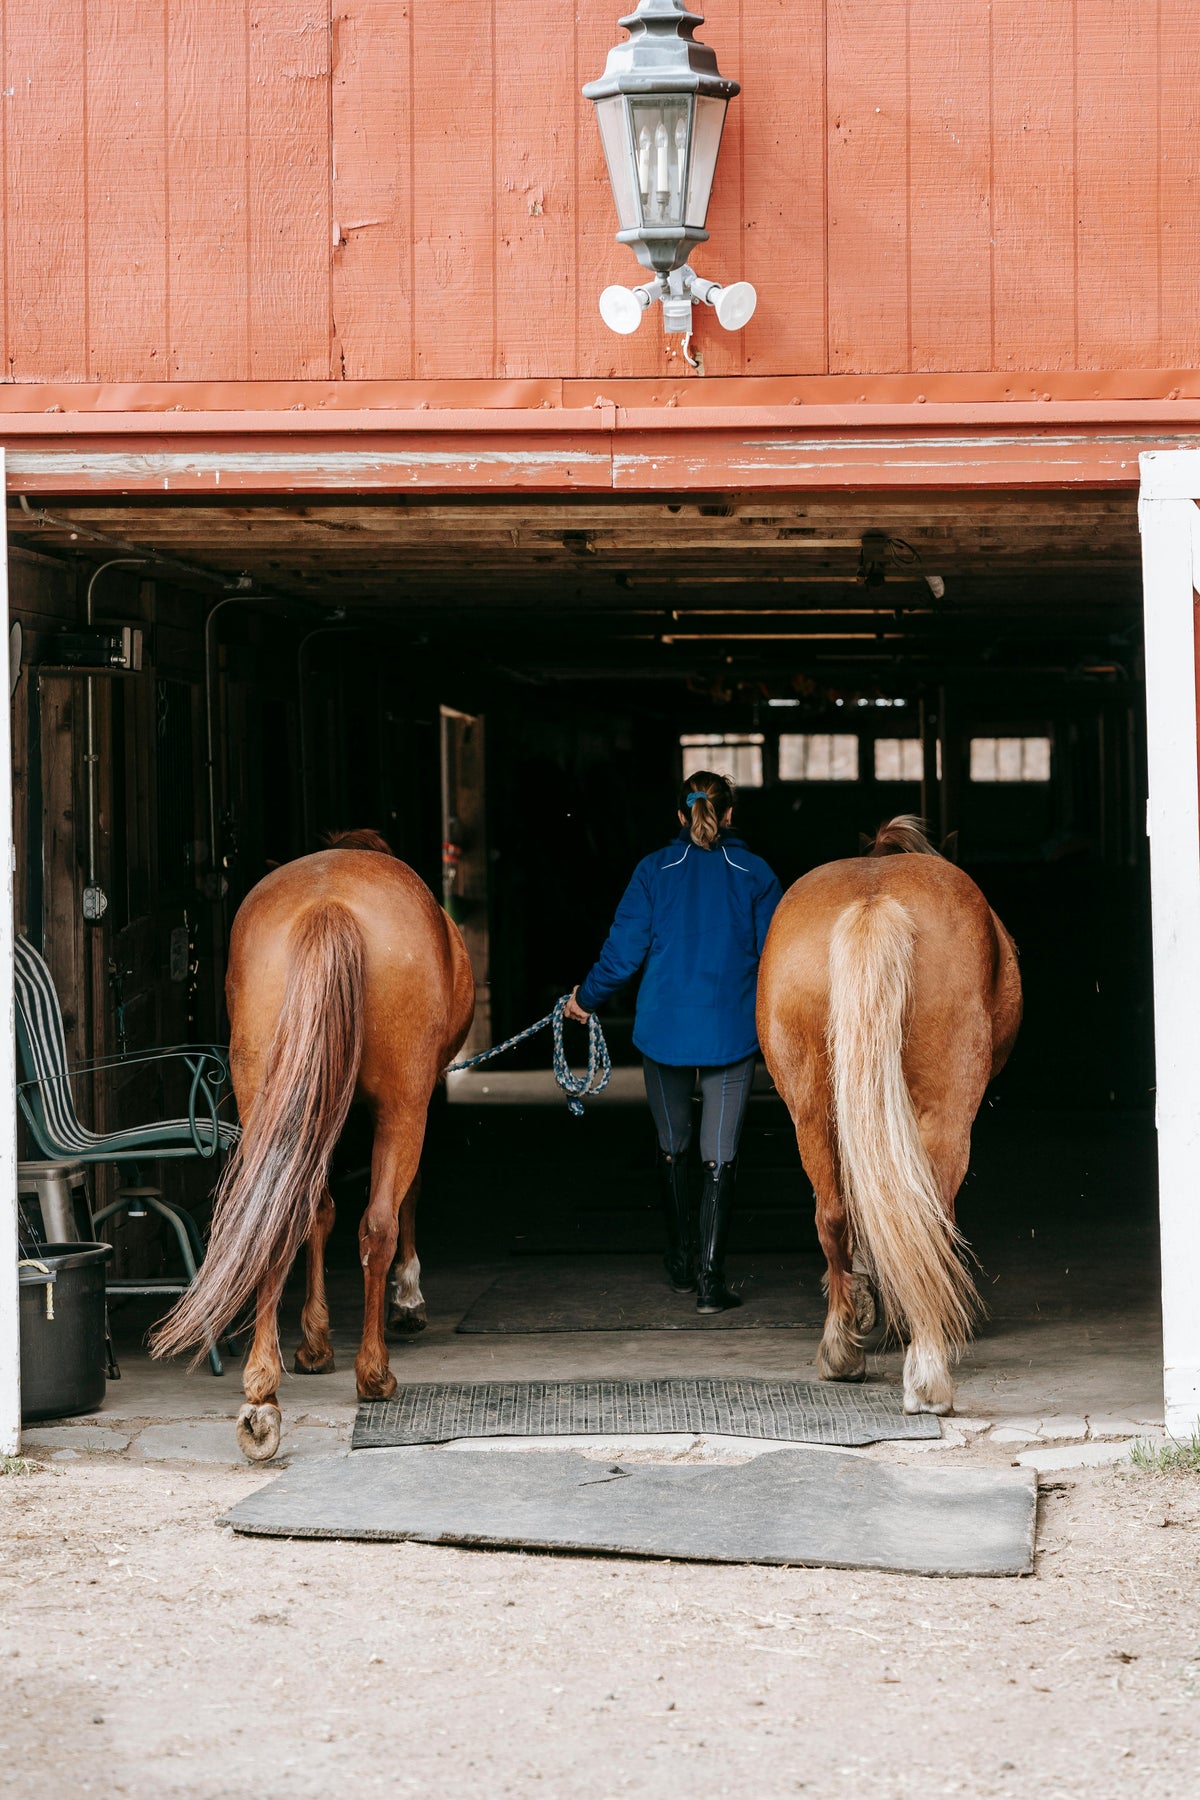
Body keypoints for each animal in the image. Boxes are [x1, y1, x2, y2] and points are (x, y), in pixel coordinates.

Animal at [151, 829, 475, 1461]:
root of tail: (328, 906)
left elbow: (317, 1213)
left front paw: (314, 1343)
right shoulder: (416, 1100)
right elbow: (403, 1199)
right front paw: (407, 1301)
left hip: (267, 1101)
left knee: (274, 1221)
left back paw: (262, 1397)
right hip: (403, 1107)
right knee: (378, 1222)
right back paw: (374, 1375)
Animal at [756, 816, 1022, 1416]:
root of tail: (873, 903)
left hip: (811, 1107)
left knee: (834, 1215)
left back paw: (842, 1351)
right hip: (947, 1108)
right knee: (929, 1216)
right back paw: (925, 1372)